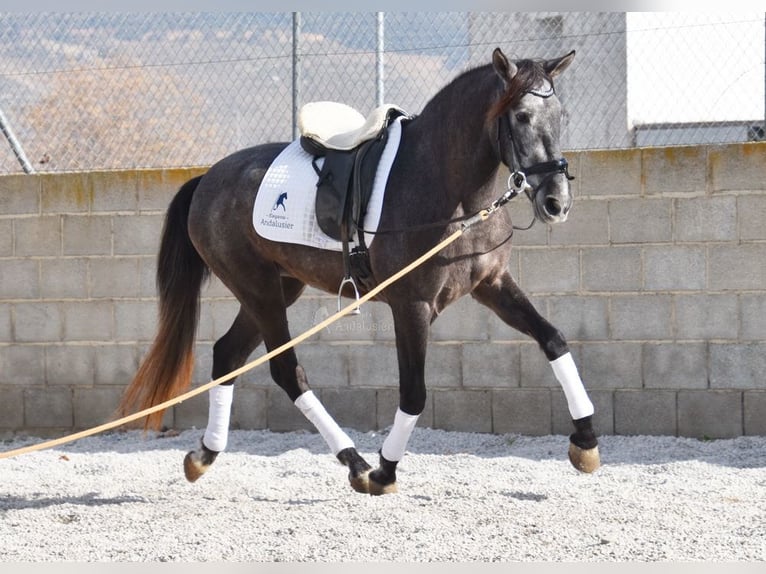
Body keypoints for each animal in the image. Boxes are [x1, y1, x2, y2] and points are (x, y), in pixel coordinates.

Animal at [118, 48, 600, 496]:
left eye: (560, 117)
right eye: (520, 116)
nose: (557, 203)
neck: (448, 187)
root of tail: (207, 178)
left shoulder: (492, 285)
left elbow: (554, 340)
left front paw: (586, 442)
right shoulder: (411, 305)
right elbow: (413, 393)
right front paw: (385, 471)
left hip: (278, 288)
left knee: (227, 356)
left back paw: (205, 454)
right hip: (258, 291)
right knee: (286, 372)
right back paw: (356, 463)